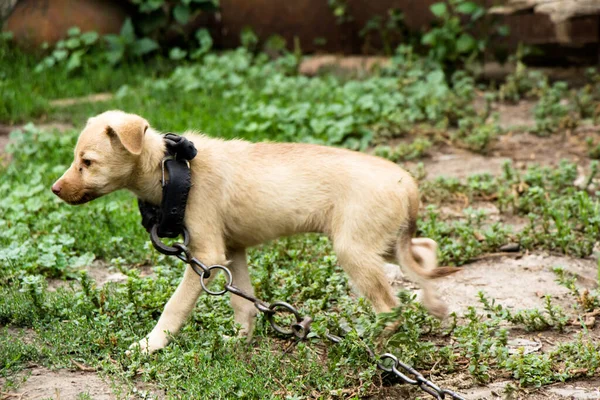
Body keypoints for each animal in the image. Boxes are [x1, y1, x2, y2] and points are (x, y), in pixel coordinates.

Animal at [51, 110, 458, 354]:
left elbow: (174, 306)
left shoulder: (207, 256)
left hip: (354, 249)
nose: (55, 189)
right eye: (75, 159)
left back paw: (368, 342)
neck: (173, 170)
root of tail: (407, 183)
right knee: (424, 250)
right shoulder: (233, 253)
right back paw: (434, 304)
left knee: (391, 307)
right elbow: (243, 303)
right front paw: (239, 342)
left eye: (87, 162)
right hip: (381, 243)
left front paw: (151, 345)